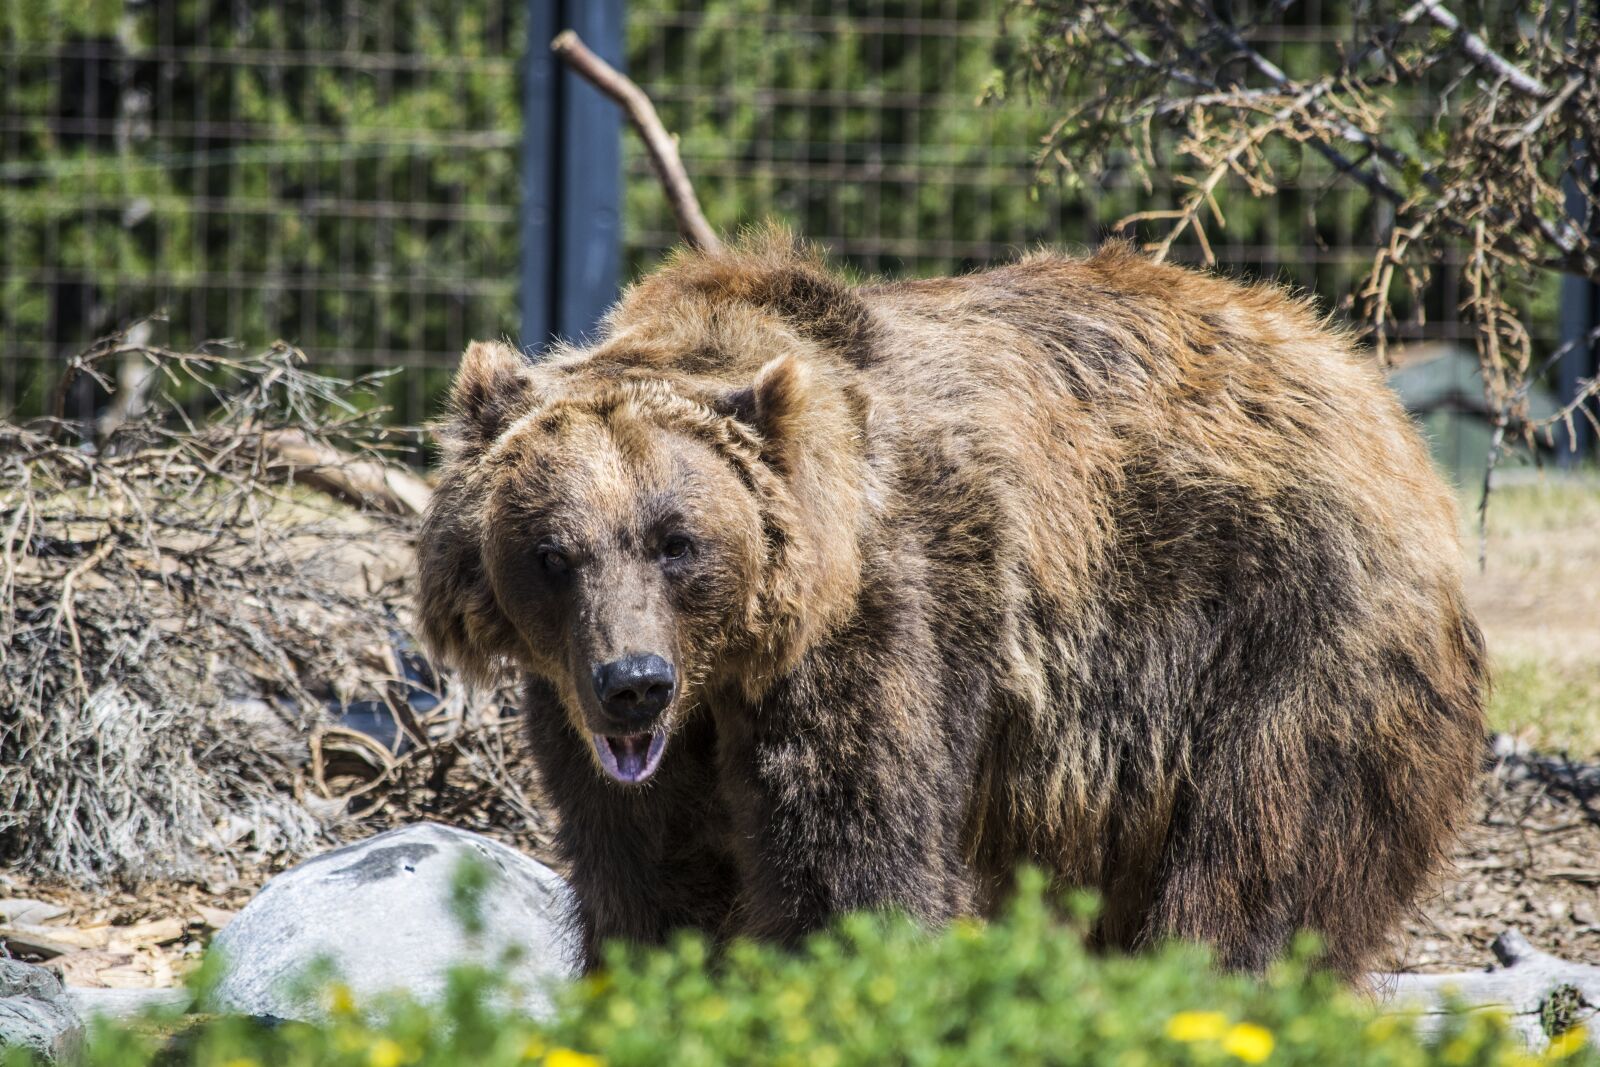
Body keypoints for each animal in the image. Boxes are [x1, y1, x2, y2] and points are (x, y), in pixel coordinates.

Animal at [416, 230, 1486, 978]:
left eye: (677, 539)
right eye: (552, 554)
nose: (632, 682)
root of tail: (1375, 397)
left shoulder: (895, 619)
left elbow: (850, 865)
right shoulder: (598, 727)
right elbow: (647, 878)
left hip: (1282, 646)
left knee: (1255, 867)